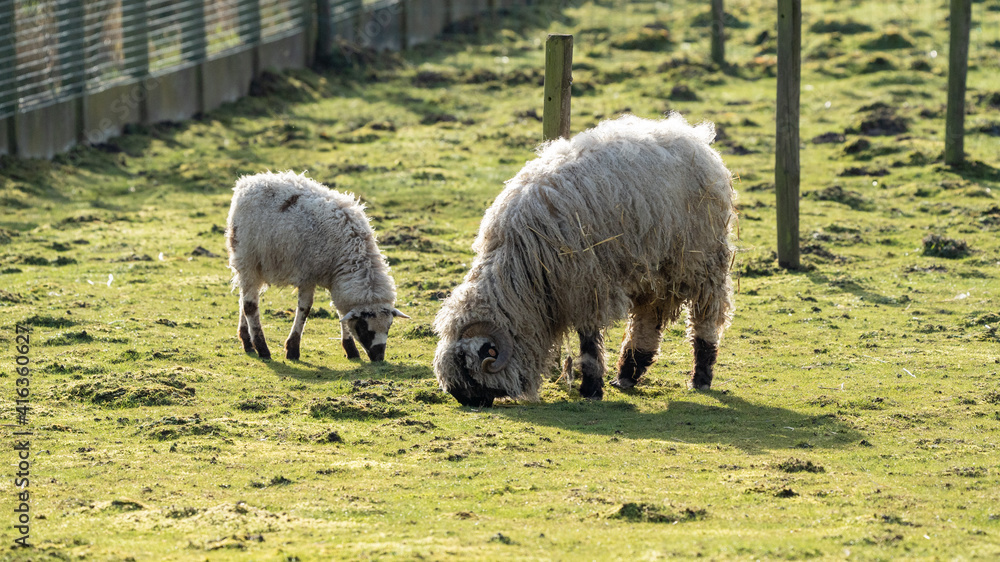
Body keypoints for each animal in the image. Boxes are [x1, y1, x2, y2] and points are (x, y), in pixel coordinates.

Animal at [225, 170, 407, 362]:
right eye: (364, 327)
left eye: (389, 326)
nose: (379, 357)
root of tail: (248, 182)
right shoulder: (308, 275)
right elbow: (305, 309)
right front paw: (292, 349)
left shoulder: (335, 279)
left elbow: (341, 313)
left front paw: (350, 349)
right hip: (248, 259)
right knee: (249, 305)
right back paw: (262, 349)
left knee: (243, 300)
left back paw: (247, 342)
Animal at [433, 114, 736, 407]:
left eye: (468, 368)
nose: (464, 400)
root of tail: (693, 135)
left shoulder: (585, 285)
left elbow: (588, 340)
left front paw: (591, 388)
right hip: (654, 265)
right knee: (647, 316)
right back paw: (628, 373)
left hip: (701, 258)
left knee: (705, 315)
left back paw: (700, 376)